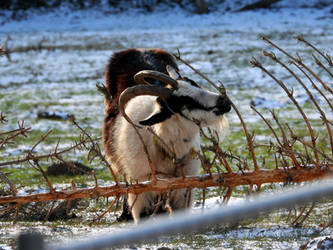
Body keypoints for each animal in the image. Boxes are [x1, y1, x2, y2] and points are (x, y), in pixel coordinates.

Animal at [102, 48, 230, 223]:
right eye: (184, 102)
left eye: (195, 84)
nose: (225, 102)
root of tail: (140, 50)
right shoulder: (141, 187)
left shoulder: (185, 184)